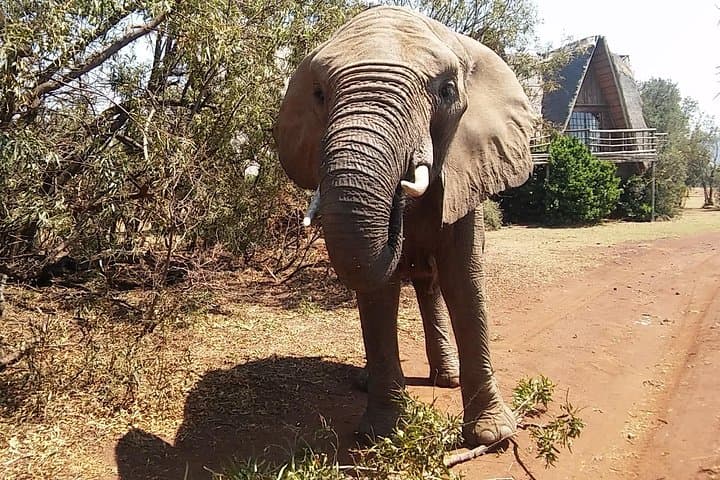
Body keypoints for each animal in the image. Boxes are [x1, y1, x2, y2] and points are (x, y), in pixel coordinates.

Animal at [273, 6, 534, 448]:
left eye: (447, 91)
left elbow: (464, 279)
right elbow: (378, 291)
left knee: (433, 285)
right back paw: (369, 381)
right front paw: (380, 435)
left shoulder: (466, 175)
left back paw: (446, 379)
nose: (400, 197)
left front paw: (491, 436)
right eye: (319, 94)